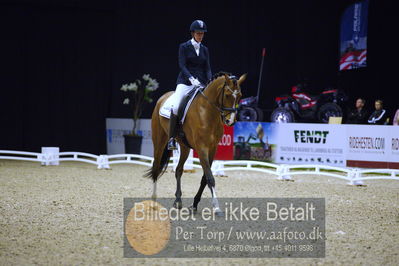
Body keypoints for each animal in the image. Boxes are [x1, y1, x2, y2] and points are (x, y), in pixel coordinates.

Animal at [145, 72, 247, 216]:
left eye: (240, 96)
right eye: (227, 95)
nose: (230, 121)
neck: (208, 112)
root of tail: (162, 98)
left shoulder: (212, 148)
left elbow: (205, 178)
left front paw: (194, 205)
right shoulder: (201, 147)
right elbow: (210, 178)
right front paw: (217, 207)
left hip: (185, 147)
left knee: (179, 170)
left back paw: (178, 201)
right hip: (159, 140)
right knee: (156, 167)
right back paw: (154, 201)